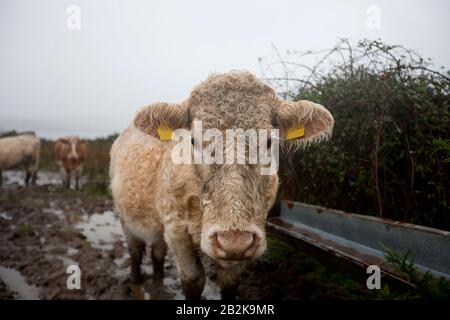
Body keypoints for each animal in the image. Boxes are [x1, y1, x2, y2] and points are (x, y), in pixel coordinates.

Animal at [109, 70, 334, 300]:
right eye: (193, 141)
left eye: (269, 141)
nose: (233, 239)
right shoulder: (175, 228)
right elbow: (193, 279)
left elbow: (229, 281)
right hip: (126, 219)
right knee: (135, 251)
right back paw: (136, 282)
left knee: (157, 252)